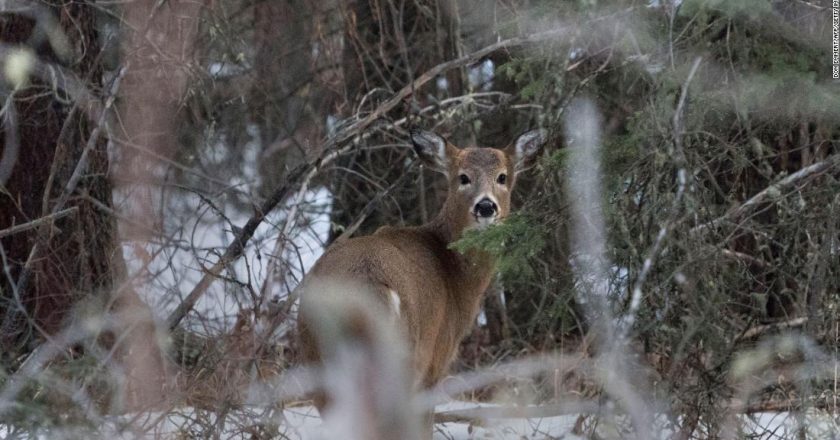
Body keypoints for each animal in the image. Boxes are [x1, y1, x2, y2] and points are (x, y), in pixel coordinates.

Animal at [296, 128, 544, 436]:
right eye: (463, 177)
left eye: (502, 176)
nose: (486, 206)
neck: (456, 275)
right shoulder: (437, 356)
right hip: (404, 356)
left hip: (317, 362)